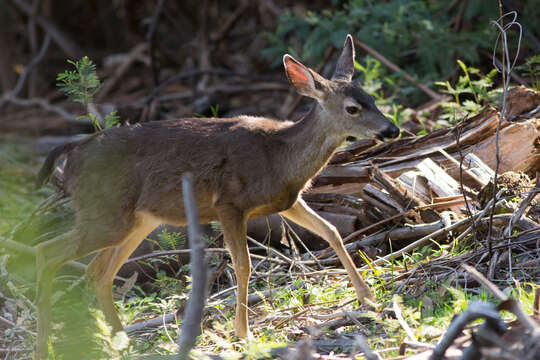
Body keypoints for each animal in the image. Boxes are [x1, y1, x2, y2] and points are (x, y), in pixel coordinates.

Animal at [32, 34, 396, 358]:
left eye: (373, 99)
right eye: (353, 108)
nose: (392, 129)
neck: (281, 157)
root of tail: (73, 151)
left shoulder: (288, 201)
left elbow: (332, 231)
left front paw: (368, 299)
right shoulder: (229, 203)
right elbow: (243, 264)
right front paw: (244, 333)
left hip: (134, 220)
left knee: (98, 272)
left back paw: (120, 343)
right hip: (106, 215)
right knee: (46, 253)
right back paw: (46, 347)